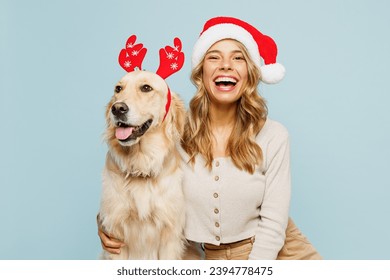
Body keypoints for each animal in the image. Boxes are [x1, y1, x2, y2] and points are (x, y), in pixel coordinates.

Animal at [100, 69, 187, 260]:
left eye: (146, 88)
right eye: (118, 88)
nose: (117, 108)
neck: (141, 164)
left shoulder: (169, 233)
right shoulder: (115, 233)